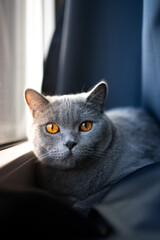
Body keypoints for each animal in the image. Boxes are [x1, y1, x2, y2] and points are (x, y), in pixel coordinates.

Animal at [25, 81, 160, 216]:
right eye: (51, 128)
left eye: (86, 126)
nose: (70, 143)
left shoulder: (135, 169)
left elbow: (99, 194)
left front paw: (79, 206)